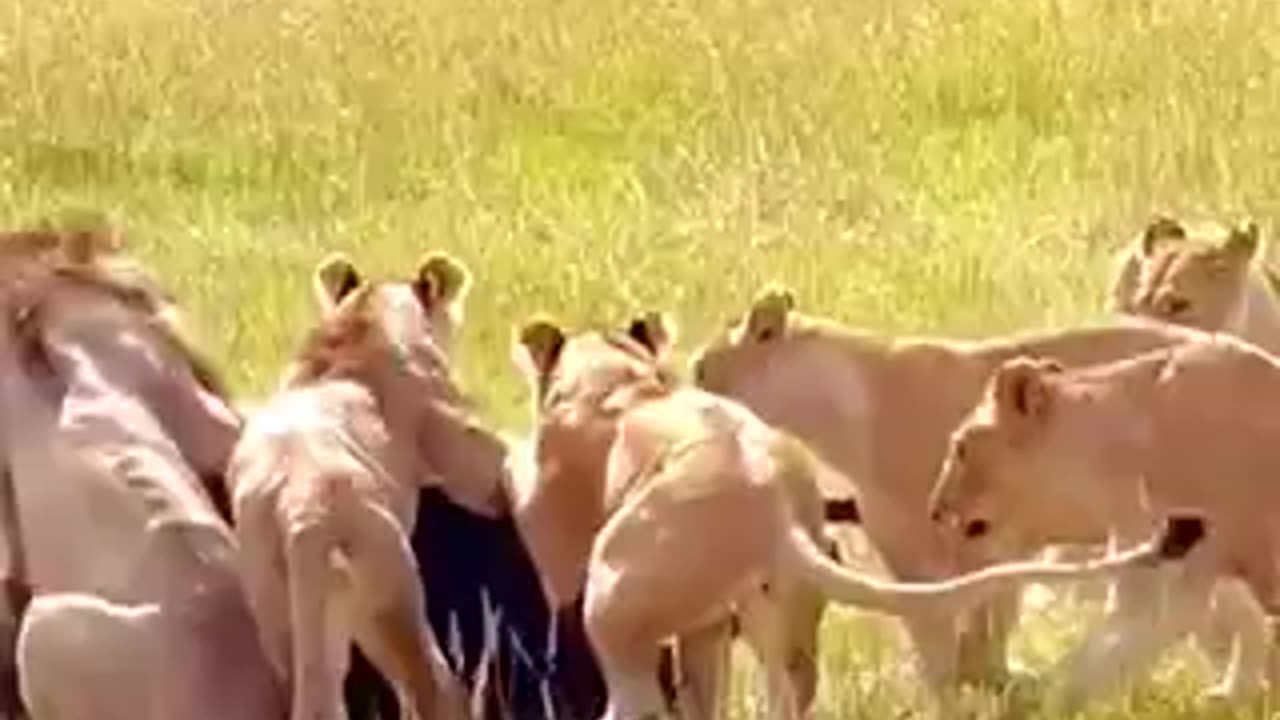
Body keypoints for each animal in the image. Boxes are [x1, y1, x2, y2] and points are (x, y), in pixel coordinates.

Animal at [227, 251, 506, 717]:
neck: (362, 317)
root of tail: (302, 505)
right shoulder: (452, 435)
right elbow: (488, 475)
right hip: (391, 592)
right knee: (430, 686)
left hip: (278, 606)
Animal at [686, 284, 1223, 696]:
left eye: (701, 368)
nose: (683, 387)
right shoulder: (923, 551)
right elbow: (950, 623)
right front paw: (979, 680)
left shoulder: (980, 537)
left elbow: (973, 617)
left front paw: (987, 680)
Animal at [926, 333, 1280, 707]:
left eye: (960, 447)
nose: (934, 510)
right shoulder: (1199, 552)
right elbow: (1247, 620)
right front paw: (1233, 694)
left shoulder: (1168, 558)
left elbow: (1094, 659)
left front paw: (1035, 697)